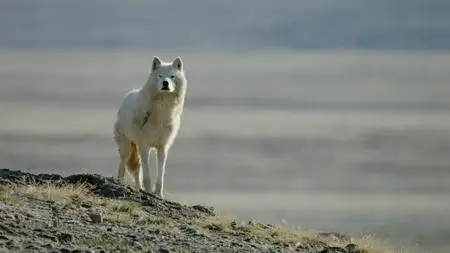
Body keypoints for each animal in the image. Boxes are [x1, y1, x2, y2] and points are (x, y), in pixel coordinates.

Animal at [114, 55, 188, 198]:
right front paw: (148, 191)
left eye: (172, 76)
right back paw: (121, 183)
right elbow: (147, 175)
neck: (162, 112)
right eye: (160, 76)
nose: (165, 83)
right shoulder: (144, 145)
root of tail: (128, 95)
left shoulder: (163, 147)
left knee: (137, 170)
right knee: (124, 165)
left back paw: (138, 188)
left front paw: (158, 194)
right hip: (127, 146)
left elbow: (160, 175)